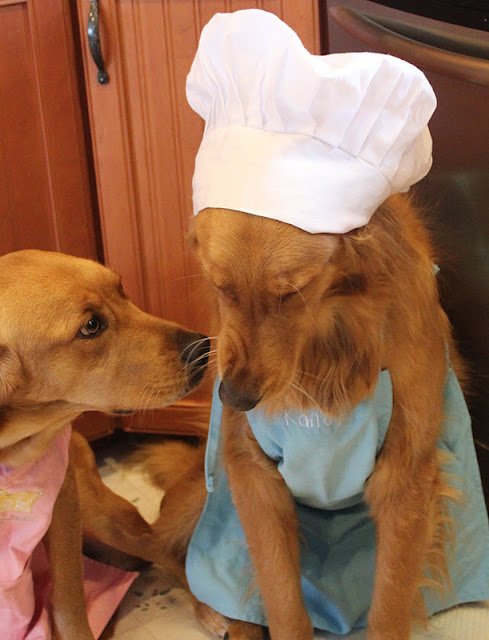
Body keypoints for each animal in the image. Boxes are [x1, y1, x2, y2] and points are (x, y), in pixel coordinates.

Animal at [0, 250, 208, 640]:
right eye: (91, 326)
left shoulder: (63, 504)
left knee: (167, 548)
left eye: (121, 288)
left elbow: (68, 602)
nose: (204, 347)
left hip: (103, 518)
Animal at [139, 194, 482, 640]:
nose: (233, 397)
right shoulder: (250, 471)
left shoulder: (406, 477)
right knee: (163, 550)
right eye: (220, 287)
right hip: (202, 492)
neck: (328, 351)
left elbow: (389, 606)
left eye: (292, 292)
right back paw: (220, 616)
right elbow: (282, 598)